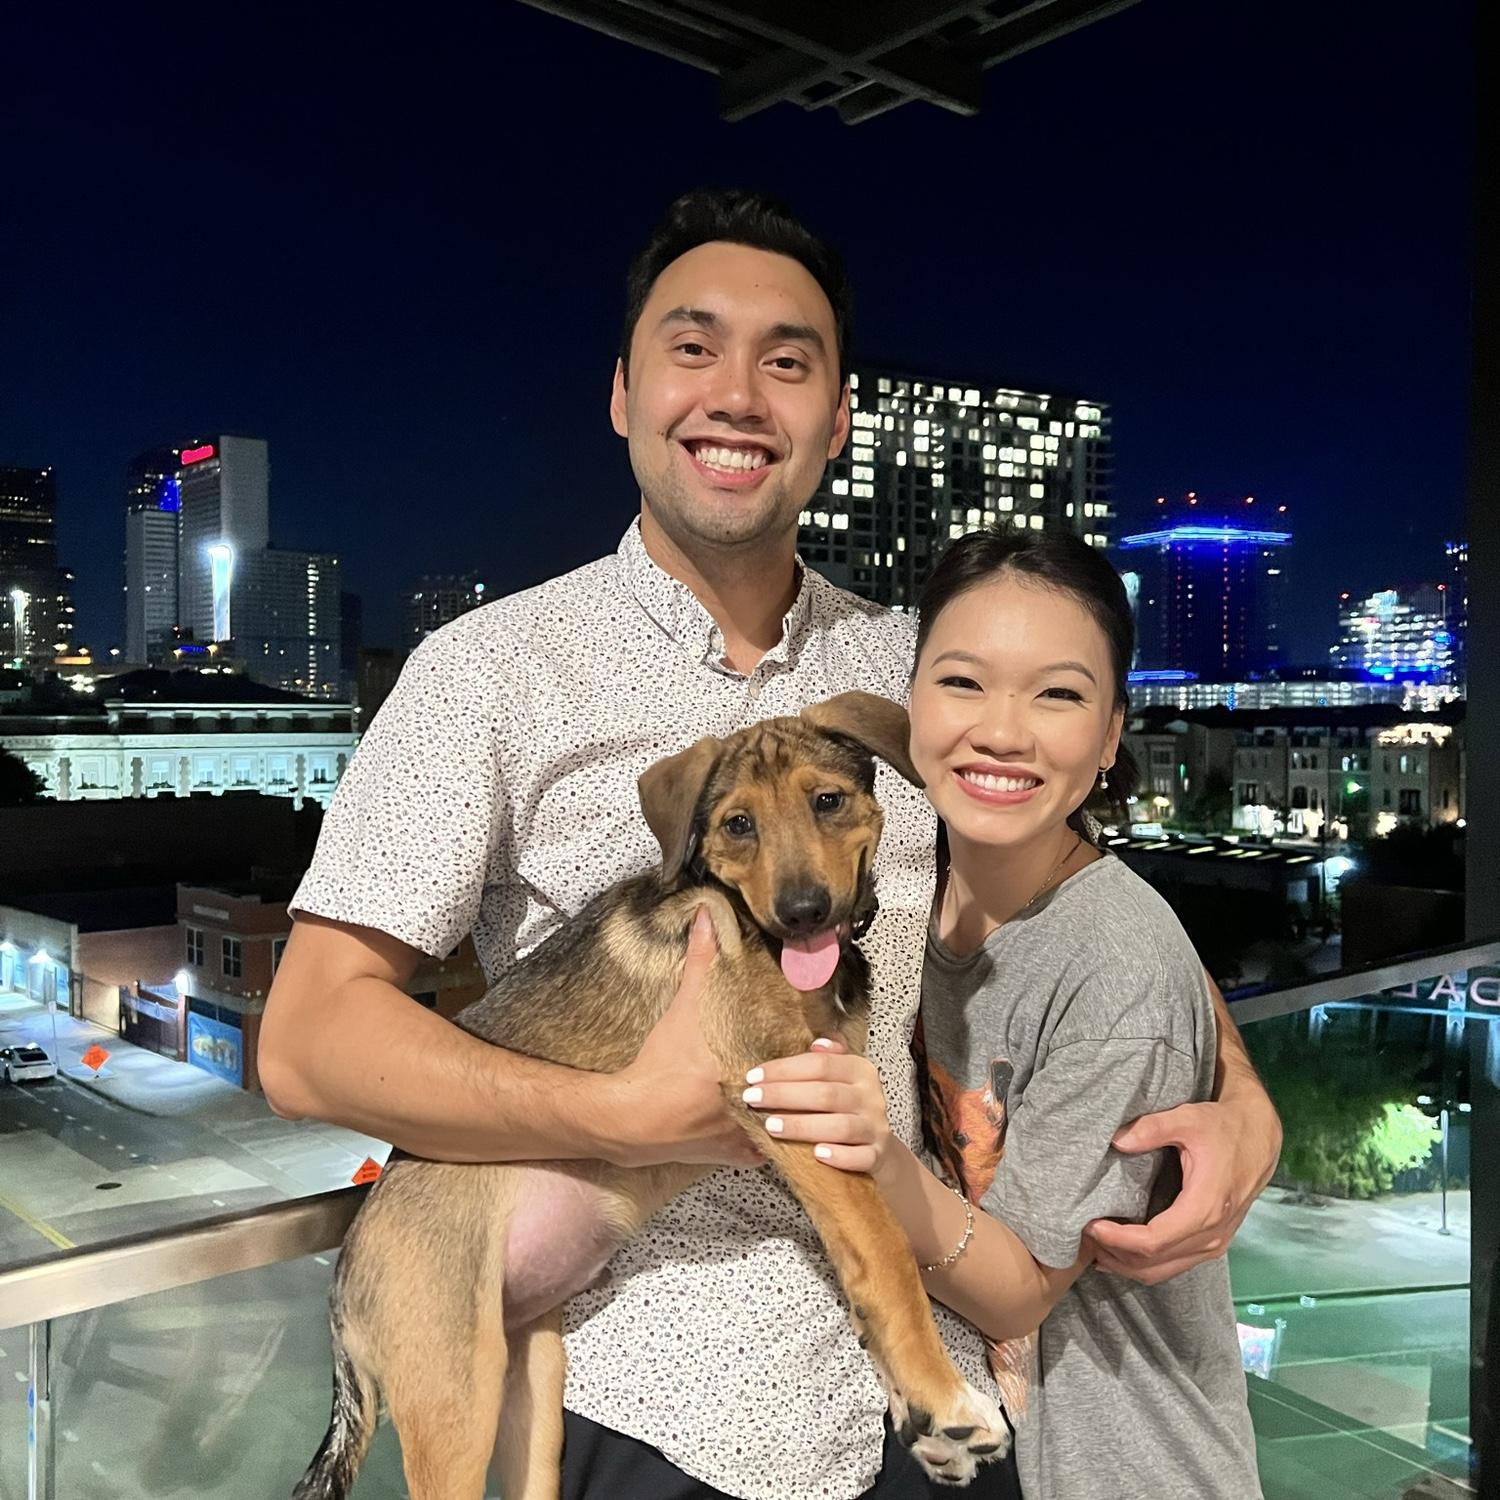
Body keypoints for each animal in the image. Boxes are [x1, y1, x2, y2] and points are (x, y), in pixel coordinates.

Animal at [293, 692, 1008, 1500]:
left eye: (827, 801)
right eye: (738, 824)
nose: (802, 911)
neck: (759, 935)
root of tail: (340, 1291)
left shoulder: (823, 1117)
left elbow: (858, 1264)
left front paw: (923, 1418)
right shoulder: (780, 1093)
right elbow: (885, 1252)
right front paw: (946, 1400)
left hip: (528, 1386)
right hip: (454, 1402)